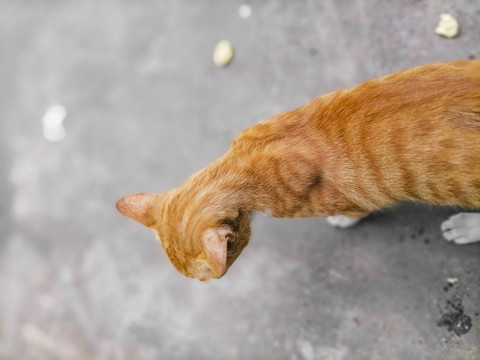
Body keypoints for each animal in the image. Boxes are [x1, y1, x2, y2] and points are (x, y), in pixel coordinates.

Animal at [116, 60, 480, 282]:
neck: (249, 157)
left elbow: (355, 210)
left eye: (200, 277)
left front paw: (342, 220)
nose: (203, 285)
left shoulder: (353, 200)